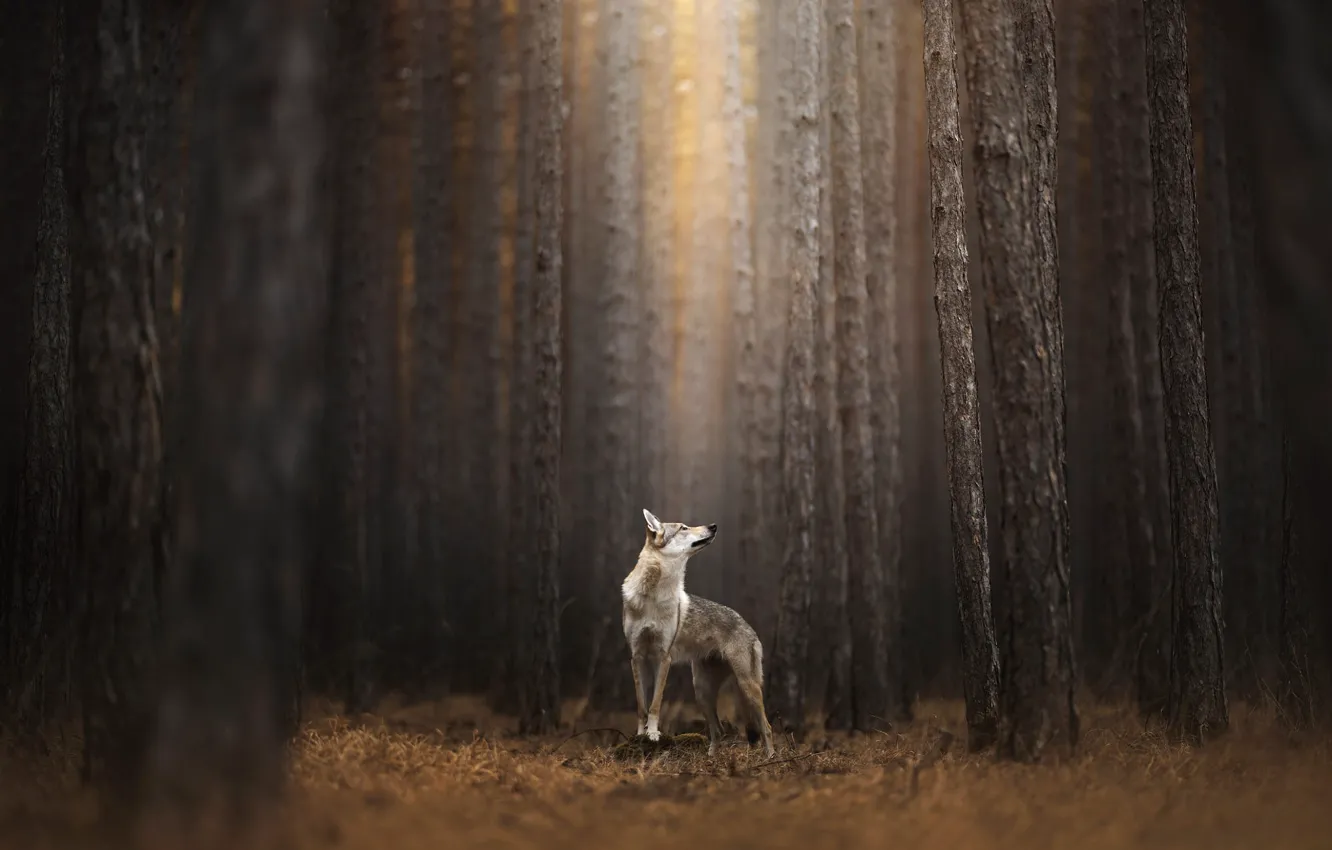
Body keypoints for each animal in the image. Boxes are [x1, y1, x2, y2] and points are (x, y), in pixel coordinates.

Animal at [620, 508, 776, 757]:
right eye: (683, 528)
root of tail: (749, 626)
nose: (713, 526)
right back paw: (711, 758)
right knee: (718, 730)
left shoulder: (663, 658)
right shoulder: (637, 657)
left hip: (747, 686)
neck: (653, 594)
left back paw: (771, 757)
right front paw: (640, 735)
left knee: (766, 727)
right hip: (702, 691)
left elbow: (655, 703)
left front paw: (653, 734)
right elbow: (642, 705)